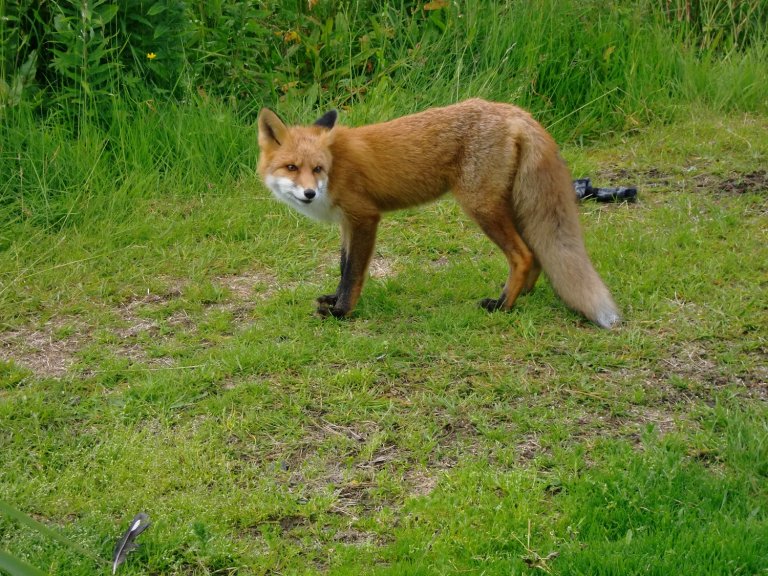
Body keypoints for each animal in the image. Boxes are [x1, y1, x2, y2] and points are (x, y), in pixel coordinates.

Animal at [260, 99, 620, 328]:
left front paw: (341, 312)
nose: (310, 193)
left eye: (317, 168)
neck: (336, 167)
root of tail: (514, 111)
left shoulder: (364, 217)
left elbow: (353, 274)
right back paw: (521, 296)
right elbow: (343, 266)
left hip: (481, 207)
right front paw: (334, 300)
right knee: (536, 253)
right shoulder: (348, 224)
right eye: (291, 167)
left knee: (523, 255)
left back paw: (503, 306)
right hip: (512, 206)